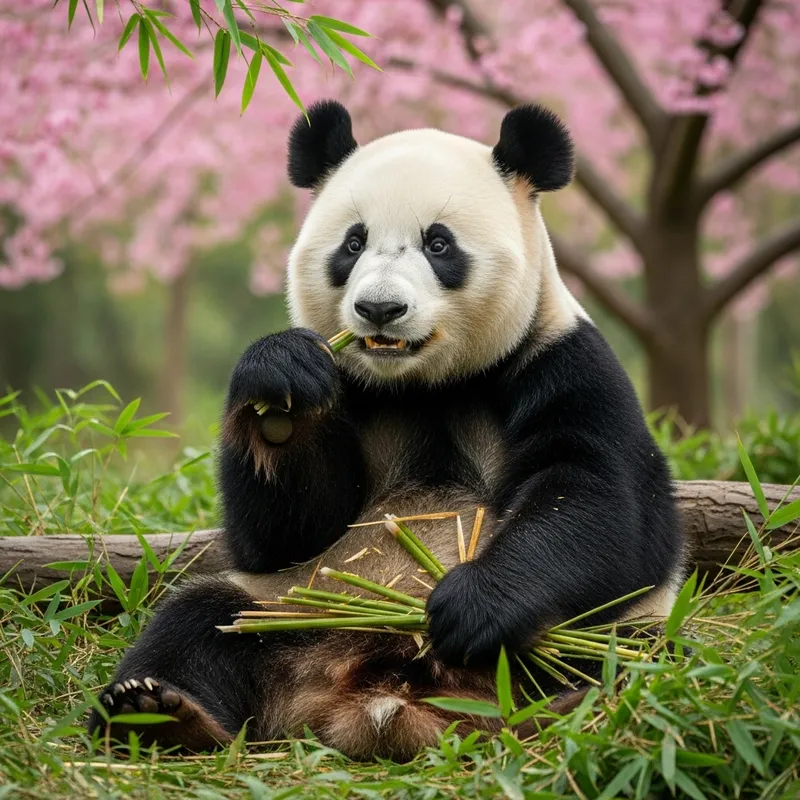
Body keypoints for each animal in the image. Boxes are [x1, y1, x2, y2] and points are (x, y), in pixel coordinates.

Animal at [88, 100, 685, 760]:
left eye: (438, 243)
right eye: (353, 243)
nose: (379, 309)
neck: (424, 385)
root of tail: (381, 698)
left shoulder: (561, 362)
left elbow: (602, 501)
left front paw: (469, 608)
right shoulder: (353, 389)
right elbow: (283, 533)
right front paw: (281, 385)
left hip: (605, 631)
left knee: (645, 656)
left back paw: (580, 706)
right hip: (285, 611)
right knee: (202, 619)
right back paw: (157, 713)